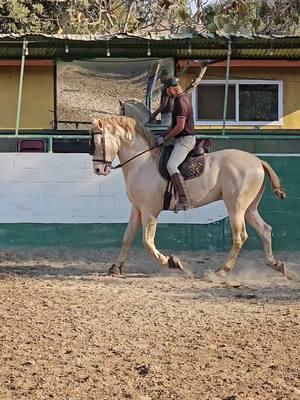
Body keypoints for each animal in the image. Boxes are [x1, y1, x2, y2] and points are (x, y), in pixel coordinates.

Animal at [89, 114, 292, 280]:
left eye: (99, 142)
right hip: (249, 208)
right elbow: (127, 237)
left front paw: (173, 262)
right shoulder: (137, 209)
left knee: (240, 236)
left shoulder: (150, 210)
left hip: (236, 207)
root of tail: (258, 161)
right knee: (265, 230)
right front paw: (115, 267)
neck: (142, 162)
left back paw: (221, 271)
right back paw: (277, 265)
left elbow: (147, 241)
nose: (98, 170)